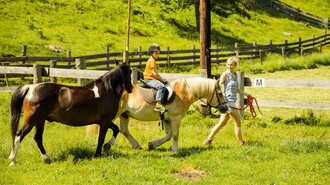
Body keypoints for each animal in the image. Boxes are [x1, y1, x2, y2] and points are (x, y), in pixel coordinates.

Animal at [86, 77, 228, 151]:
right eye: (220, 93)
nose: (225, 108)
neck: (184, 92)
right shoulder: (176, 119)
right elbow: (175, 135)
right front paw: (176, 149)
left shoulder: (167, 119)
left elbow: (169, 135)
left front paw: (152, 144)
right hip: (117, 114)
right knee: (107, 125)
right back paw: (104, 144)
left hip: (124, 114)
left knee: (124, 130)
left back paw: (135, 145)